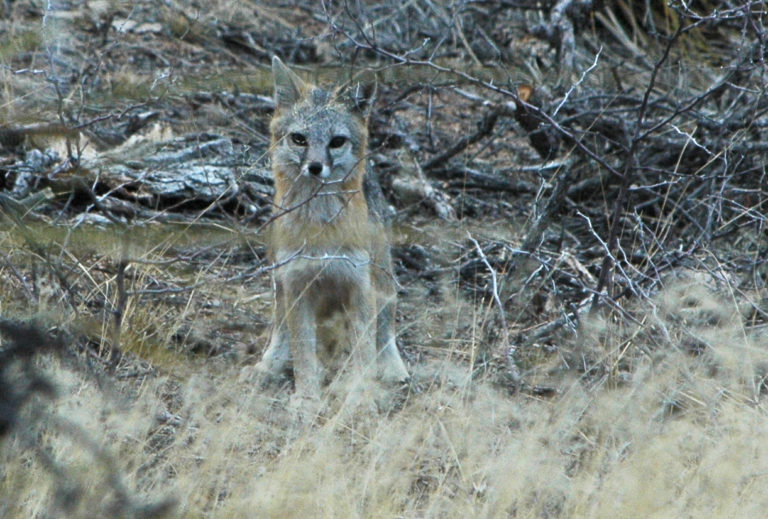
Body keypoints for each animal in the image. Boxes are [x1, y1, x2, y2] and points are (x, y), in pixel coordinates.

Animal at [252, 58, 408, 398]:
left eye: (336, 142)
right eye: (299, 139)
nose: (314, 167)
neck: (319, 227)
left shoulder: (360, 285)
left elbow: (363, 352)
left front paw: (360, 397)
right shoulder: (296, 284)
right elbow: (303, 354)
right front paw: (306, 398)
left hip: (382, 277)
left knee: (385, 330)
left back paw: (393, 367)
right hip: (280, 283)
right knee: (280, 329)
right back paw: (269, 364)